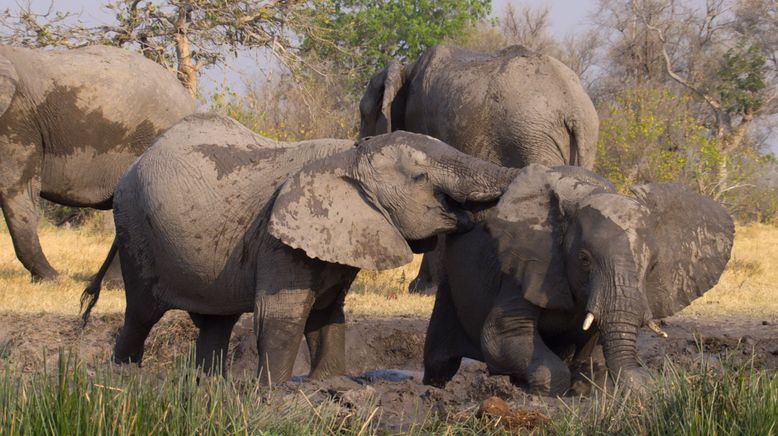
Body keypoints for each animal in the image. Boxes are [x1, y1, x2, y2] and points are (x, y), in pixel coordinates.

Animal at [82, 113, 520, 382]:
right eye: (420, 177)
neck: (350, 154)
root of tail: (133, 166)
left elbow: (328, 316)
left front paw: (329, 382)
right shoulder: (280, 241)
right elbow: (283, 315)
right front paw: (273, 392)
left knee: (216, 322)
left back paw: (209, 382)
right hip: (135, 230)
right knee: (141, 314)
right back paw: (123, 375)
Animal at [360, 44, 600, 294]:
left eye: (362, 114)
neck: (406, 69)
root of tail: (573, 107)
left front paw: (422, 288)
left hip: (532, 140)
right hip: (578, 140)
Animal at [424, 164, 732, 396]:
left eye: (653, 265)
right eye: (584, 259)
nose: (648, 384)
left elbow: (592, 345)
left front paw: (592, 388)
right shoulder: (525, 263)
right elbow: (502, 334)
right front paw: (543, 395)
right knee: (440, 361)